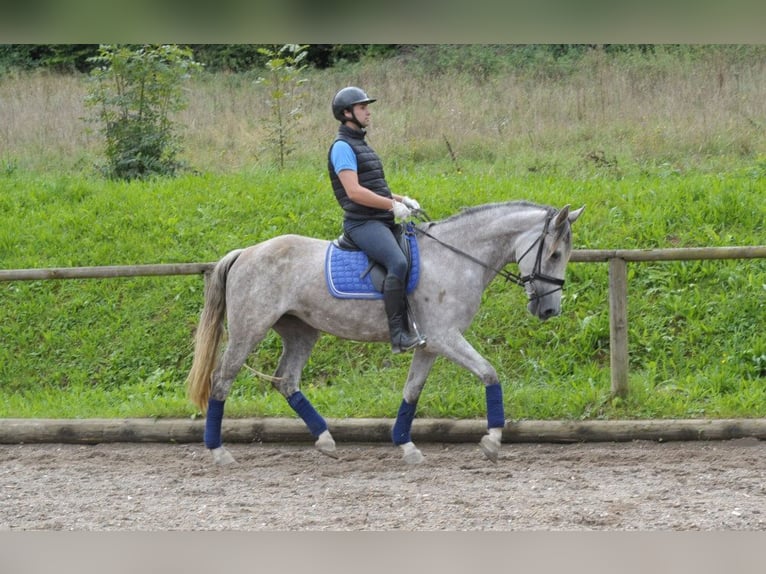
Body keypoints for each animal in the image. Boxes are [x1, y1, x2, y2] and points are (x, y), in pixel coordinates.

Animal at [189, 200, 584, 466]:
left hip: (301, 331)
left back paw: (326, 440)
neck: (457, 258)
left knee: (286, 380)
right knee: (222, 380)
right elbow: (489, 373)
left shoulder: (430, 344)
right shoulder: (445, 337)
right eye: (554, 254)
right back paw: (219, 452)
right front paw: (493, 441)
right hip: (249, 329)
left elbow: (412, 391)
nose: (549, 310)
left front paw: (406, 445)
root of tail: (245, 252)